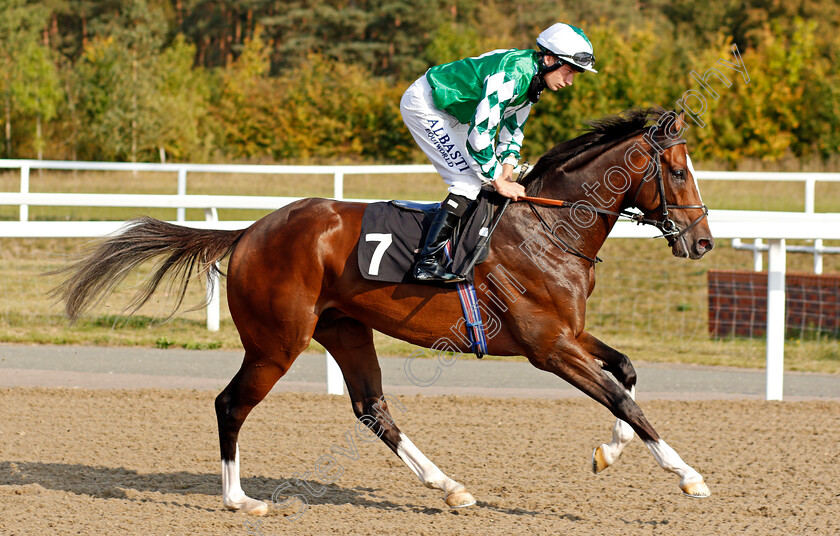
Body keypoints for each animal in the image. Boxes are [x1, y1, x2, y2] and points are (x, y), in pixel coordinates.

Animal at [49, 108, 712, 516]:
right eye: (678, 170)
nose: (702, 241)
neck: (548, 229)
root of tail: (249, 231)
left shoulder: (569, 334)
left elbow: (625, 373)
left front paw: (609, 453)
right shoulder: (548, 347)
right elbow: (623, 397)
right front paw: (688, 475)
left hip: (345, 331)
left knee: (373, 409)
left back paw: (449, 486)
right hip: (276, 342)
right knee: (230, 404)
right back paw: (241, 500)